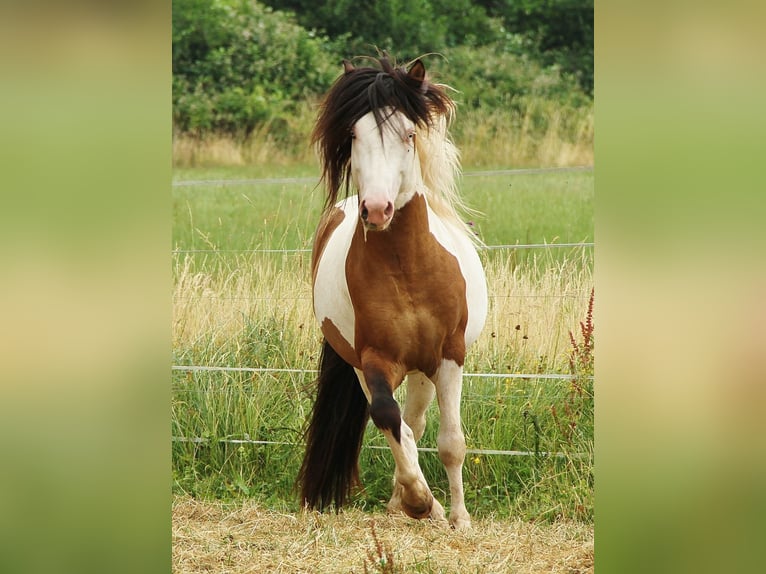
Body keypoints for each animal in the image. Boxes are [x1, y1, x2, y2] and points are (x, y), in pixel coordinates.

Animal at [296, 54, 488, 532]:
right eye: (353, 134)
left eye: (409, 134)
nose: (378, 209)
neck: (407, 270)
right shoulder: (373, 359)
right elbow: (387, 418)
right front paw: (420, 501)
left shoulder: (449, 355)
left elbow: (451, 441)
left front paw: (459, 518)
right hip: (370, 367)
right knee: (402, 427)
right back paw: (403, 500)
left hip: (424, 368)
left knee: (418, 426)